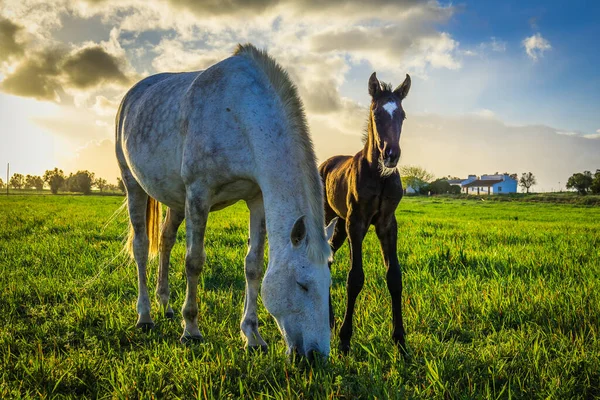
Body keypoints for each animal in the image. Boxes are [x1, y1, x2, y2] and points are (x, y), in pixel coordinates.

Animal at [113, 44, 338, 360]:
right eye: (302, 285)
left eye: (328, 285)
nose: (316, 356)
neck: (240, 113)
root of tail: (131, 95)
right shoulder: (199, 193)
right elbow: (194, 261)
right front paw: (191, 329)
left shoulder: (257, 198)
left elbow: (253, 265)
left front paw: (252, 335)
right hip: (133, 185)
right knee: (142, 247)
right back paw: (145, 316)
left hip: (175, 200)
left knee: (166, 240)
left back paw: (165, 305)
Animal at [318, 71, 412, 354]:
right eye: (376, 113)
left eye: (402, 115)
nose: (391, 154)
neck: (379, 175)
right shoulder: (356, 223)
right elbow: (355, 278)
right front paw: (345, 340)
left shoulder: (387, 224)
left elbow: (394, 277)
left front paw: (400, 340)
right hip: (329, 218)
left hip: (339, 225)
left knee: (328, 258)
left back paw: (329, 319)